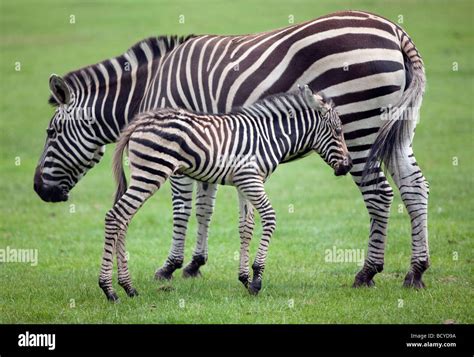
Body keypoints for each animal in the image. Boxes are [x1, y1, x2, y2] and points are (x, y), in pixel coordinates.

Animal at [99, 86, 352, 300]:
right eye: (338, 131)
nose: (348, 166)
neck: (269, 136)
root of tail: (139, 121)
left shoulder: (244, 182)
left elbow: (245, 227)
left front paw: (245, 278)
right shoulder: (251, 179)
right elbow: (270, 218)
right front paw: (257, 279)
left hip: (145, 174)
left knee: (123, 219)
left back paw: (128, 288)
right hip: (151, 172)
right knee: (115, 217)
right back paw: (110, 290)